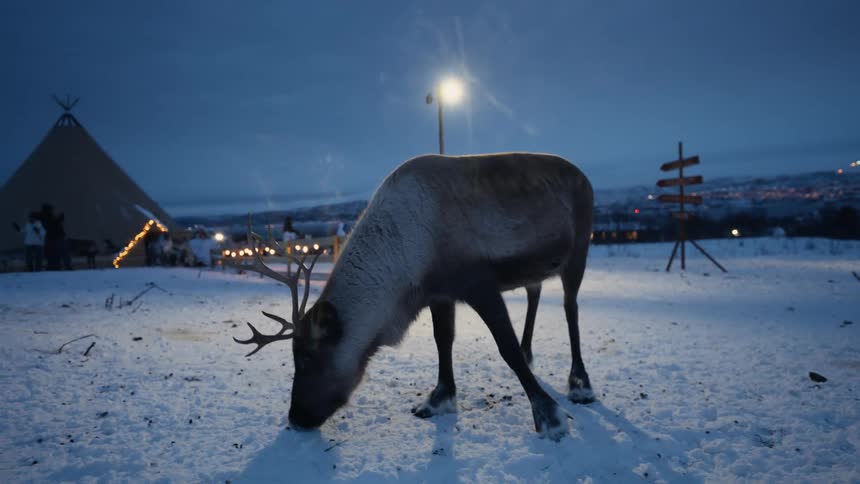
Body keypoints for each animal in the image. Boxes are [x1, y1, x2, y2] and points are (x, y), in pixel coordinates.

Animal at [233, 152, 594, 440]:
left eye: (308, 358)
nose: (295, 418)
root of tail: (584, 176)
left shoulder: (478, 283)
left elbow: (506, 348)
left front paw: (549, 416)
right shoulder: (439, 292)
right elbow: (442, 340)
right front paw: (438, 398)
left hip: (578, 250)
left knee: (570, 308)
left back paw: (579, 383)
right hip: (537, 267)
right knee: (536, 292)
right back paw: (531, 349)